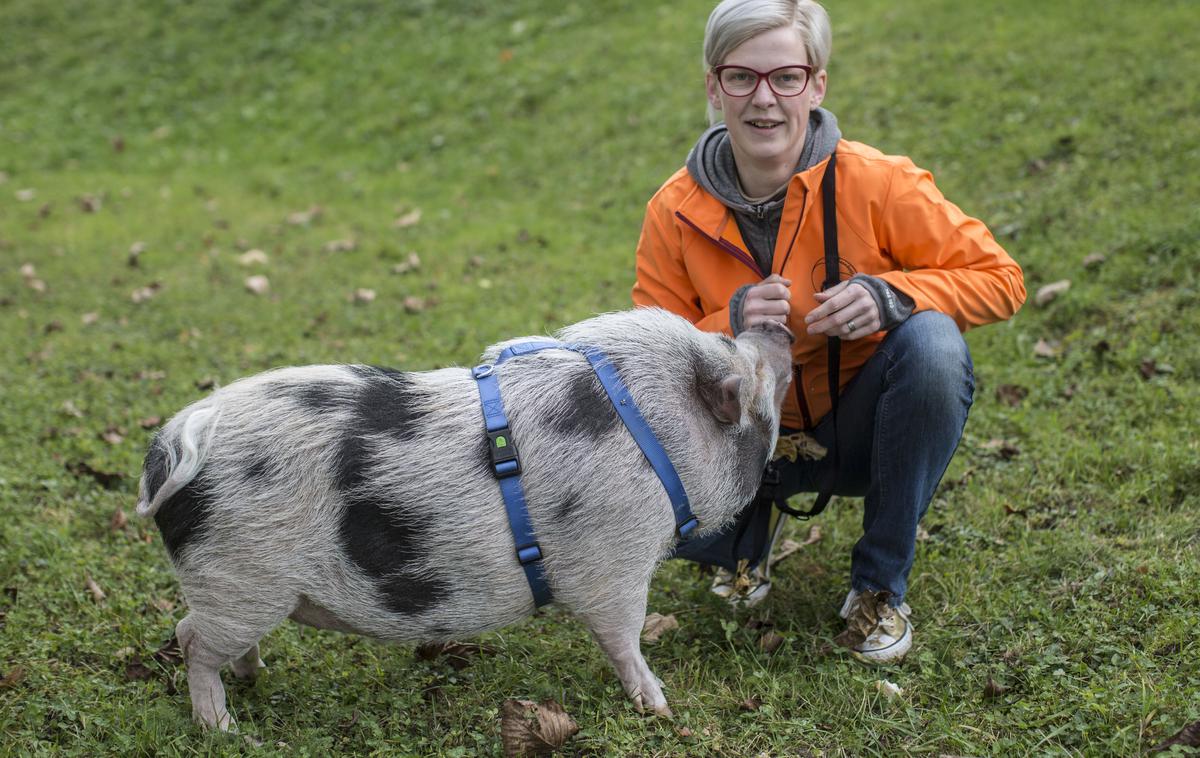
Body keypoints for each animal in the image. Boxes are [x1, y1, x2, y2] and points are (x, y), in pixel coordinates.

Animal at [136, 307, 792, 729]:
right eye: (752, 375)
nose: (779, 324)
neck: (655, 437)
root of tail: (178, 442)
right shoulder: (615, 564)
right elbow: (624, 636)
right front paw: (661, 706)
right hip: (236, 580)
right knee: (190, 638)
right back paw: (222, 728)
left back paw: (255, 676)